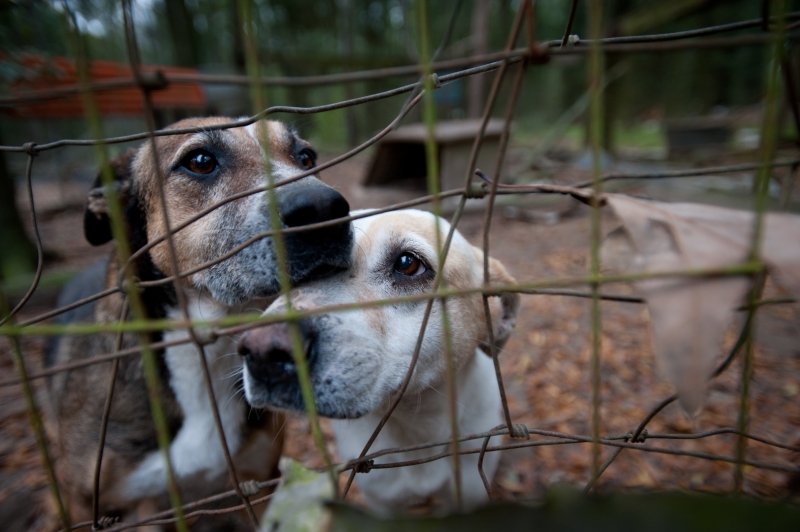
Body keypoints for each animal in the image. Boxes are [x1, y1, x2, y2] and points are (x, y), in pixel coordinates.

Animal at [46, 118, 354, 524]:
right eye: (201, 161)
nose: (324, 209)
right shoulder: (92, 504)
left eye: (306, 157)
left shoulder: (258, 482)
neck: (209, 349)